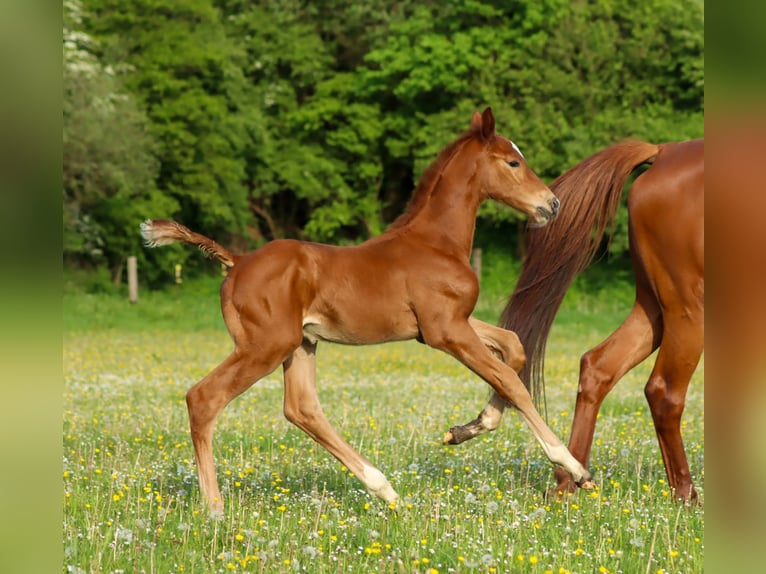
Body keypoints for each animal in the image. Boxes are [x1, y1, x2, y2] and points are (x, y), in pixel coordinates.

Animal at [141, 109, 596, 516]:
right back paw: (214, 509)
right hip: (266, 346)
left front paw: (463, 431)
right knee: (204, 398)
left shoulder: (449, 324)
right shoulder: (445, 331)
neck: (436, 242)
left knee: (301, 408)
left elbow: (513, 349)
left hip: (300, 344)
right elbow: (510, 379)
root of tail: (236, 261)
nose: (552, 204)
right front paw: (575, 468)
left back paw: (386, 491)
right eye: (513, 162)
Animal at [448, 138, 704, 504]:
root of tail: (664, 151)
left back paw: (568, 481)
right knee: (664, 392)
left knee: (598, 367)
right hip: (686, 309)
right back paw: (685, 495)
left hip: (654, 308)